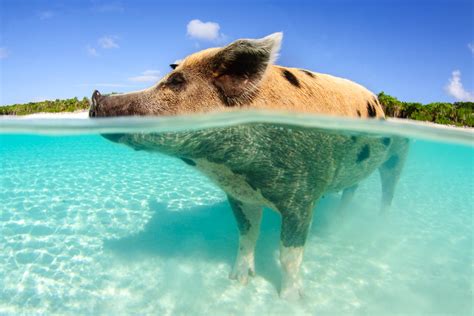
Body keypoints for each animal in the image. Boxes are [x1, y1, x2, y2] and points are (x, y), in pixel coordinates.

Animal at [89, 33, 408, 300]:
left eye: (176, 82)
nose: (96, 95)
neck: (230, 165)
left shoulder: (303, 196)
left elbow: (289, 254)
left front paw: (291, 299)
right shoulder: (240, 195)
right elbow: (246, 235)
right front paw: (238, 280)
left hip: (399, 150)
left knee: (389, 187)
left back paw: (381, 223)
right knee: (352, 188)